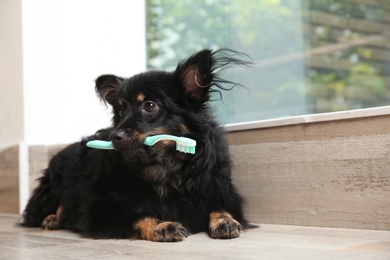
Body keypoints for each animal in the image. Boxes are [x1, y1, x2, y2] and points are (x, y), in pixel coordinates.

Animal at [21, 48, 251, 242]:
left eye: (149, 106)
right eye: (121, 111)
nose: (115, 136)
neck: (162, 166)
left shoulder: (220, 190)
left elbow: (220, 205)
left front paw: (225, 220)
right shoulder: (99, 208)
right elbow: (140, 214)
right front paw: (162, 225)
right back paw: (52, 218)